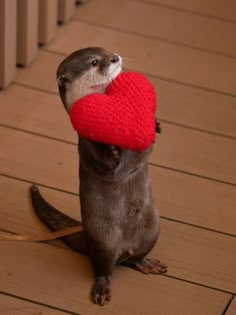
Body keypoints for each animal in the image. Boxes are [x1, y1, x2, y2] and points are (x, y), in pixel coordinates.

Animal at [30, 47, 167, 306]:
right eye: (94, 62)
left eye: (107, 51)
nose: (115, 58)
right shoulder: (87, 145)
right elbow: (109, 168)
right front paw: (112, 151)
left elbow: (142, 153)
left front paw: (155, 124)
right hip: (104, 240)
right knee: (103, 267)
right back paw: (102, 288)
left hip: (152, 230)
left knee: (134, 258)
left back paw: (145, 263)